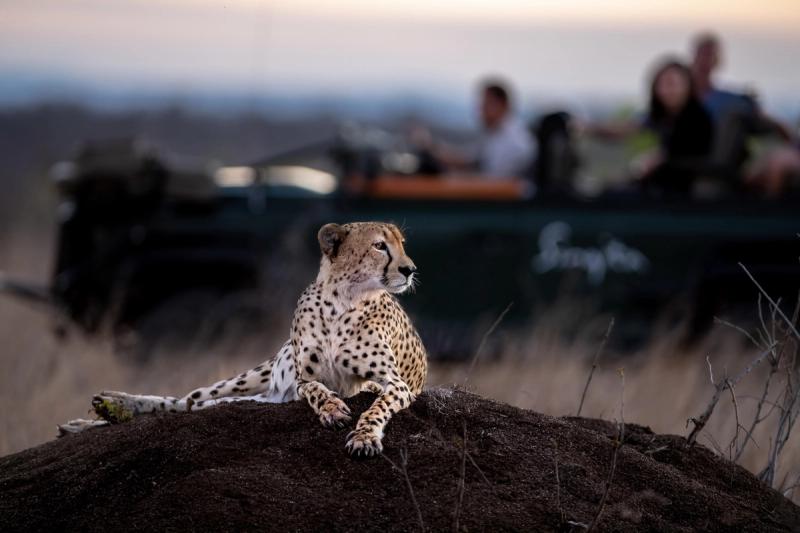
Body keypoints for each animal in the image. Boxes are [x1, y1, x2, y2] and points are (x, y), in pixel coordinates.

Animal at [59, 221, 427, 457]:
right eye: (379, 246)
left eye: (402, 245)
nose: (410, 269)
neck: (342, 300)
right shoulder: (303, 379)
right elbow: (315, 389)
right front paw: (333, 409)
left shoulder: (393, 383)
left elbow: (375, 407)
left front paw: (364, 437)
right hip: (252, 380)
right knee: (186, 401)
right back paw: (108, 408)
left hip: (266, 397)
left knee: (196, 406)